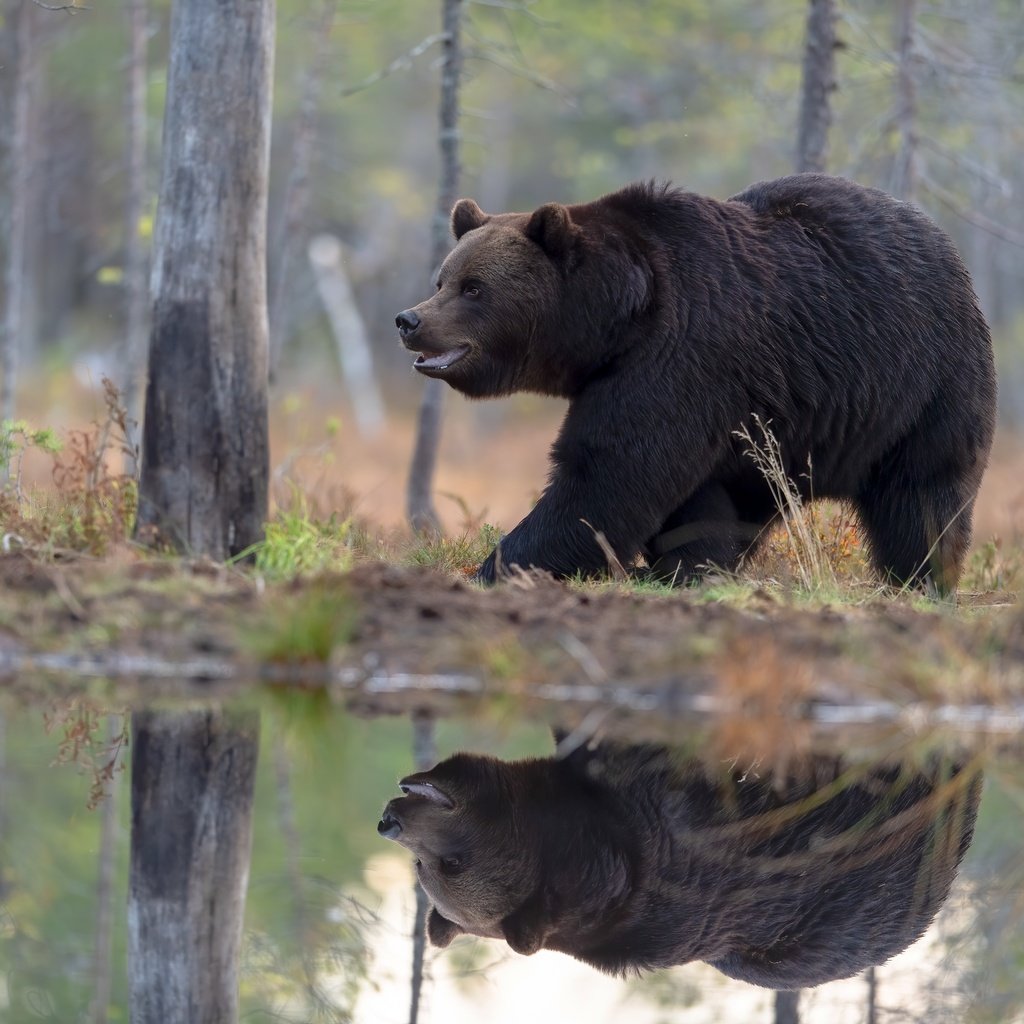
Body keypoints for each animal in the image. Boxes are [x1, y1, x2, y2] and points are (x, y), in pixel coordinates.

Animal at [395, 172, 995, 589]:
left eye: (474, 288)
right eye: (443, 279)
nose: (410, 320)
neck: (618, 321)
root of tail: (948, 247)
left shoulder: (681, 356)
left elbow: (608, 474)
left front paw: (497, 566)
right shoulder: (688, 394)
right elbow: (690, 499)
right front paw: (683, 568)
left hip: (923, 384)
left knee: (922, 495)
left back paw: (921, 578)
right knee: (754, 501)